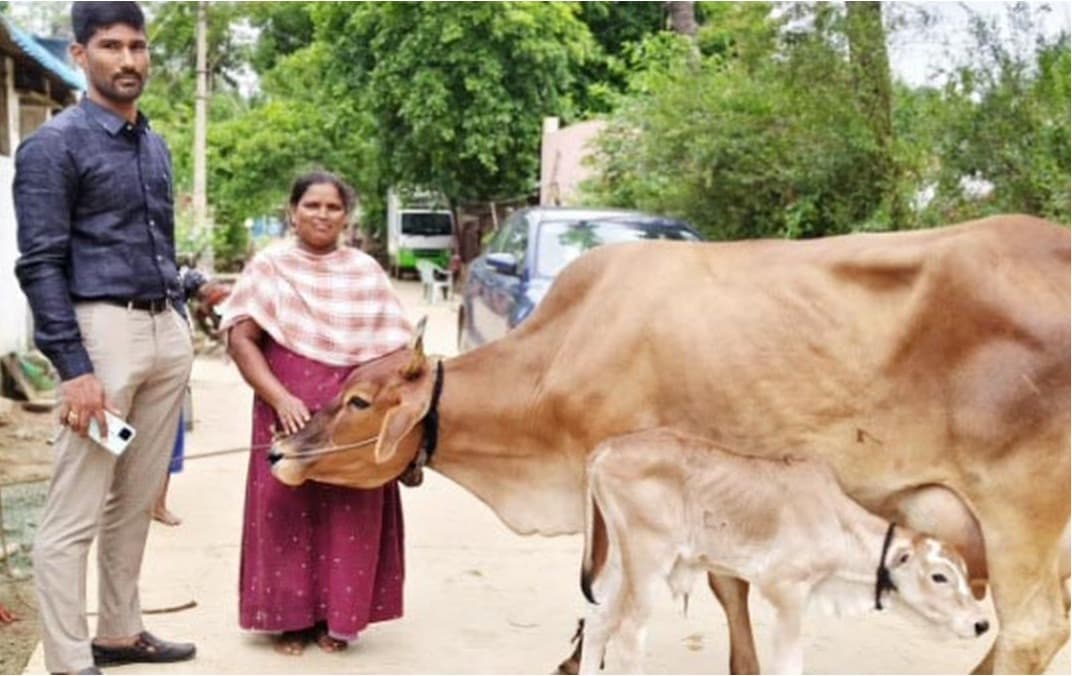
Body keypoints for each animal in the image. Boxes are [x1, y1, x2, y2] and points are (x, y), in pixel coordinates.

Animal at [577, 428, 991, 674]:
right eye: (939, 576)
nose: (981, 623)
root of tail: (604, 450)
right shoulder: (788, 592)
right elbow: (789, 665)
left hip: (620, 562)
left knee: (599, 623)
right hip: (648, 561)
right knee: (629, 632)